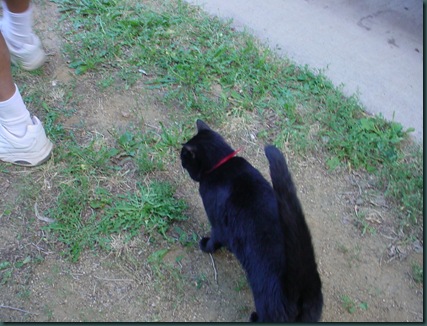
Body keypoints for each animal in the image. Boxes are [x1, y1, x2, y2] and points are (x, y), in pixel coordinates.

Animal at [181, 119, 324, 320]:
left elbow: (215, 239)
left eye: (184, 157)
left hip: (267, 303)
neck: (222, 164)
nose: (180, 160)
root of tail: (302, 285)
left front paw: (206, 245)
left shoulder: (218, 224)